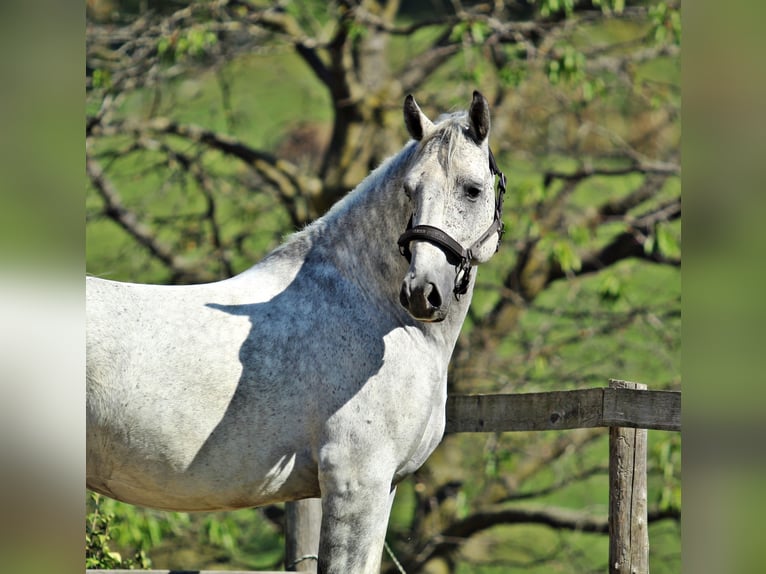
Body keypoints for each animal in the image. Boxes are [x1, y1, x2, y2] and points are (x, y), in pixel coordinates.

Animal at [87, 92, 508, 572]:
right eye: (409, 190)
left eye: (472, 189)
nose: (422, 292)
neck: (369, 309)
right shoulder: (355, 486)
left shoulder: (382, 487)